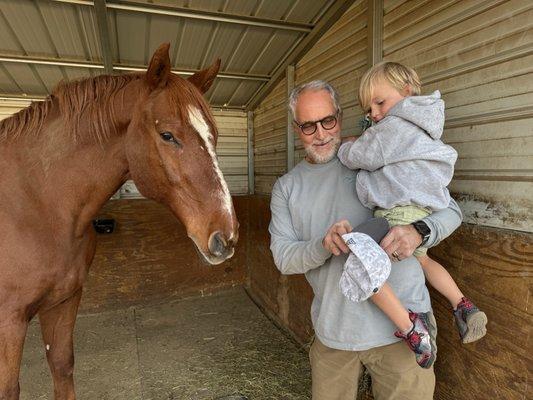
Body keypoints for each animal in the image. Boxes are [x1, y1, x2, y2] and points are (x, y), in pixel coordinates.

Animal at [0, 42, 238, 398]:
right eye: (167, 135)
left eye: (214, 136)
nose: (226, 236)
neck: (35, 202)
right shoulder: (9, 321)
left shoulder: (63, 301)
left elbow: (62, 366)